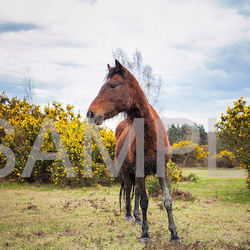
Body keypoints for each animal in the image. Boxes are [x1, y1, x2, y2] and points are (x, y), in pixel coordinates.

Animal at [86, 59, 180, 243]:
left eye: (112, 85)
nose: (91, 113)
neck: (150, 134)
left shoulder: (161, 169)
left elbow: (167, 200)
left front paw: (174, 234)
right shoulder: (139, 171)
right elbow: (144, 201)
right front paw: (145, 234)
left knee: (135, 192)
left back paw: (137, 218)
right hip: (127, 172)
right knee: (130, 190)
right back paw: (130, 215)